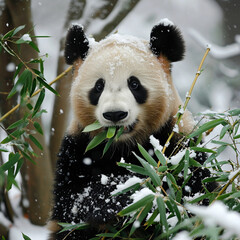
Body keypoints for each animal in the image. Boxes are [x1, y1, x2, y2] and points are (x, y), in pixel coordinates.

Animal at [47, 19, 217, 240]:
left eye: (134, 84)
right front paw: (119, 195)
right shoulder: (76, 150)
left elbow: (192, 197)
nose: (115, 114)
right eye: (98, 86)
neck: (123, 146)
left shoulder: (181, 146)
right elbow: (72, 204)